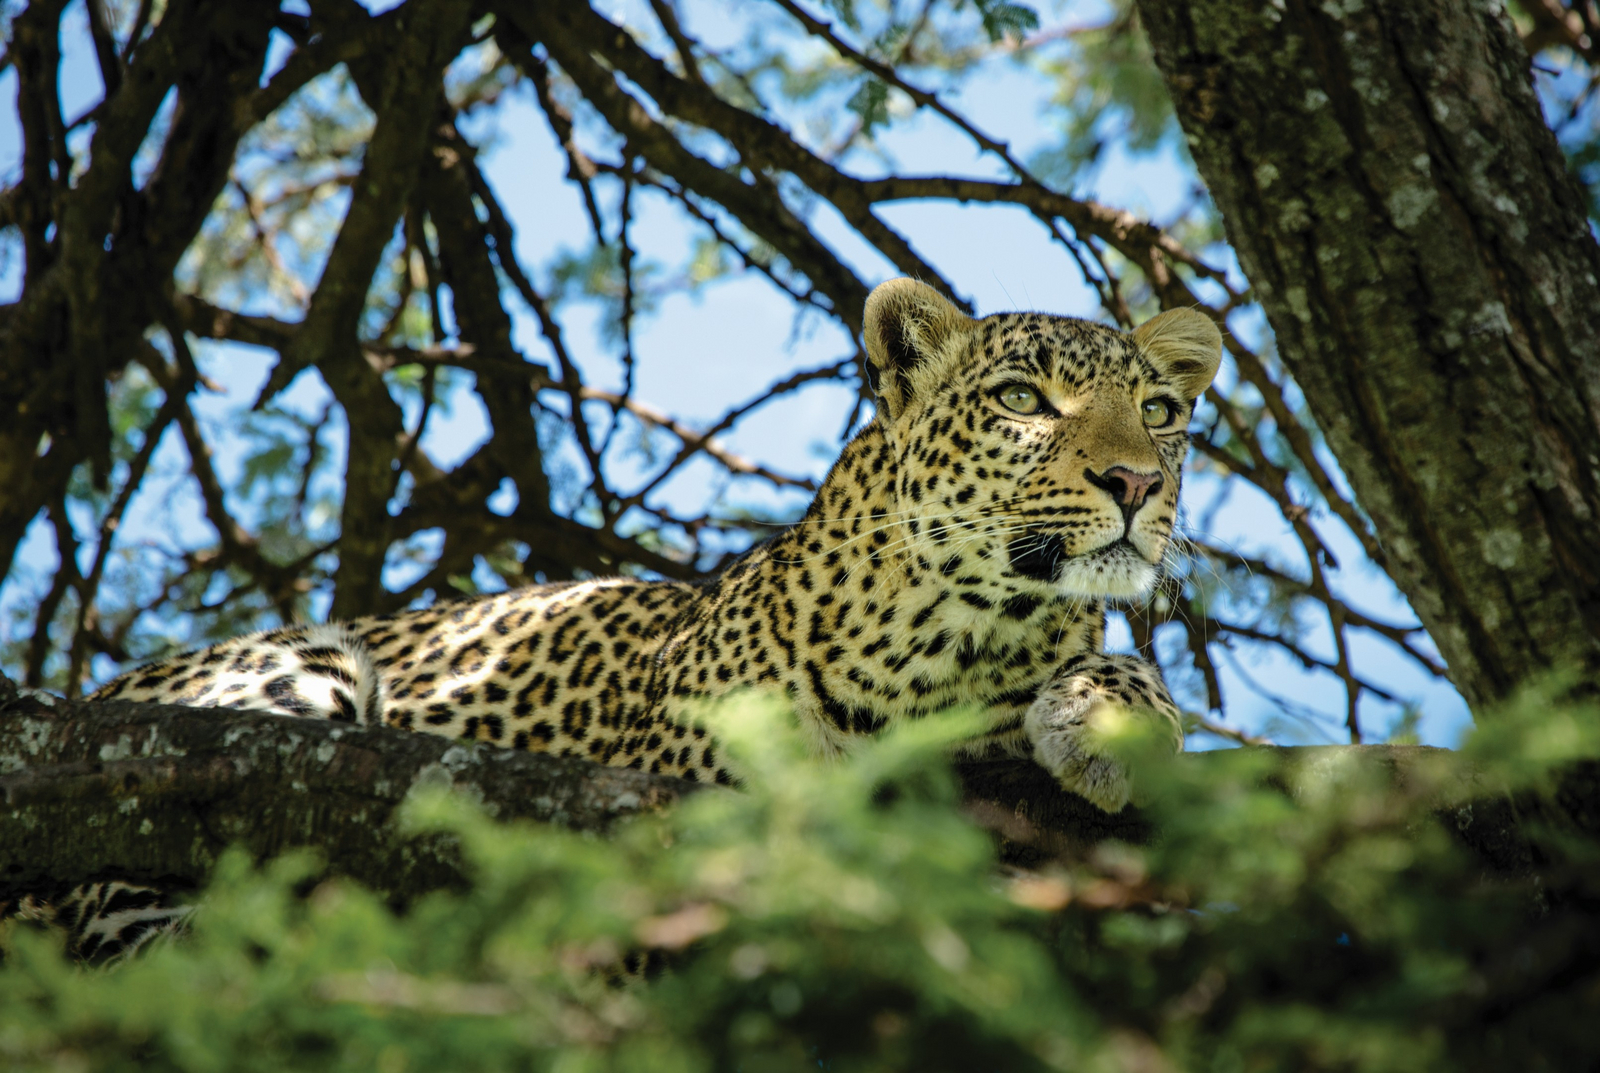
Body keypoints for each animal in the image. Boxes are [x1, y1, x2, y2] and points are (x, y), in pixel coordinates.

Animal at [11, 278, 1222, 962]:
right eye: (1022, 399)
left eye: (1161, 411)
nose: (1135, 482)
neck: (964, 634)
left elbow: (1130, 669)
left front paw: (1108, 721)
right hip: (288, 680)